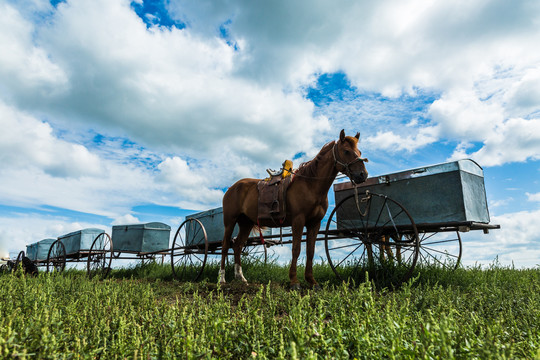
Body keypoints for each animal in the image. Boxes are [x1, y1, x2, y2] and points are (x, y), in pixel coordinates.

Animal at [218, 129, 368, 290]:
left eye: (359, 151)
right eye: (346, 151)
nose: (363, 174)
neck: (310, 185)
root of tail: (232, 188)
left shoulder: (314, 223)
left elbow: (310, 251)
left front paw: (312, 281)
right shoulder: (298, 221)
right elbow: (296, 249)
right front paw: (294, 281)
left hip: (246, 223)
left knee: (238, 246)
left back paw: (241, 278)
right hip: (230, 221)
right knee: (226, 246)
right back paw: (222, 279)